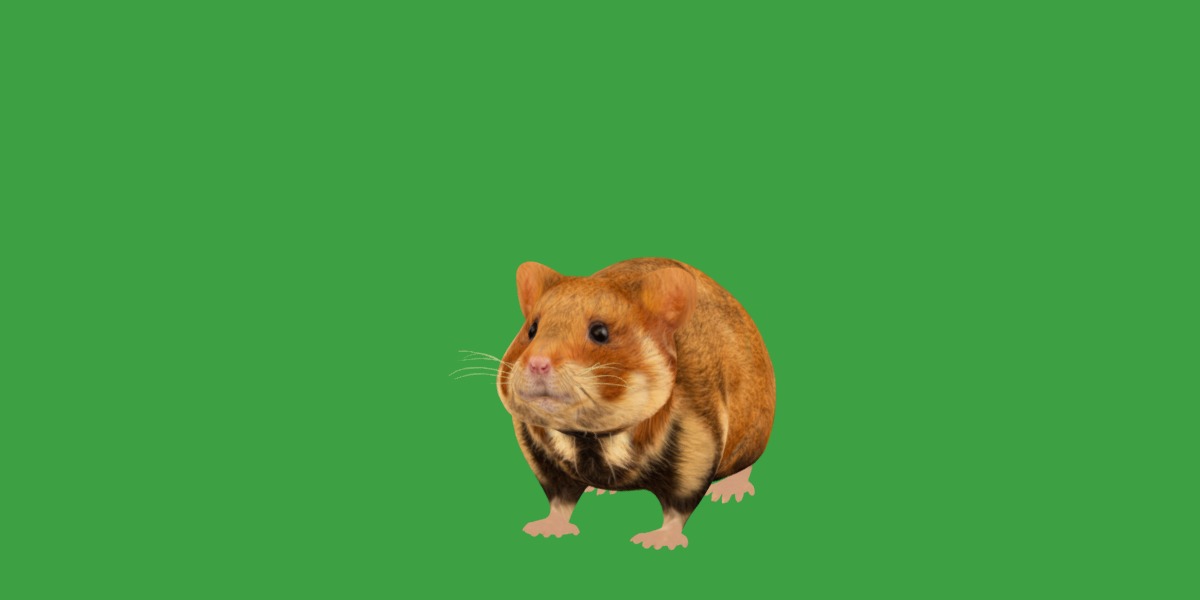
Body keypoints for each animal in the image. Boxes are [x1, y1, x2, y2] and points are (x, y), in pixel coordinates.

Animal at [494, 257, 775, 550]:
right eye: (531, 329)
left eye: (600, 332)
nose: (537, 363)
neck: (591, 439)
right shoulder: (542, 458)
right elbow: (559, 500)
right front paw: (547, 529)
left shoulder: (698, 445)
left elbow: (679, 505)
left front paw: (659, 541)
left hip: (752, 435)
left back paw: (731, 490)